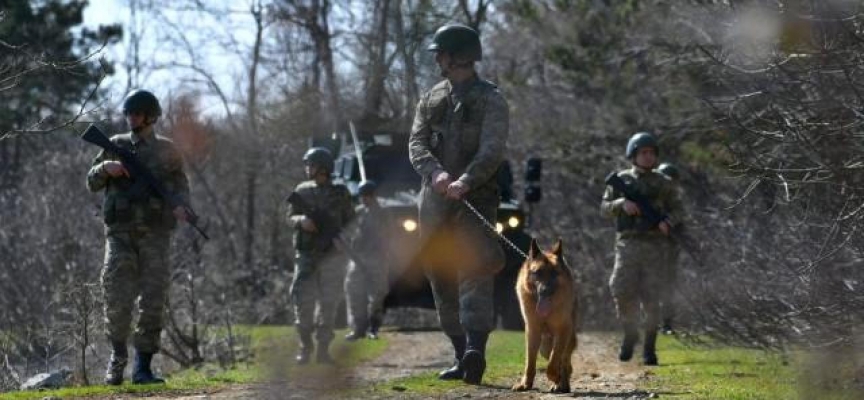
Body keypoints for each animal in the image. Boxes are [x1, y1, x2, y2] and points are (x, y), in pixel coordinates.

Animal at [510, 239, 576, 392]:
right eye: (537, 273)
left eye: (554, 273)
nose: (545, 291)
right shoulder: (532, 331)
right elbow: (530, 362)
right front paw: (526, 384)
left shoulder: (563, 330)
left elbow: (554, 361)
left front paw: (555, 377)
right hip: (544, 348)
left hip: (566, 340)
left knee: (565, 363)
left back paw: (562, 384)